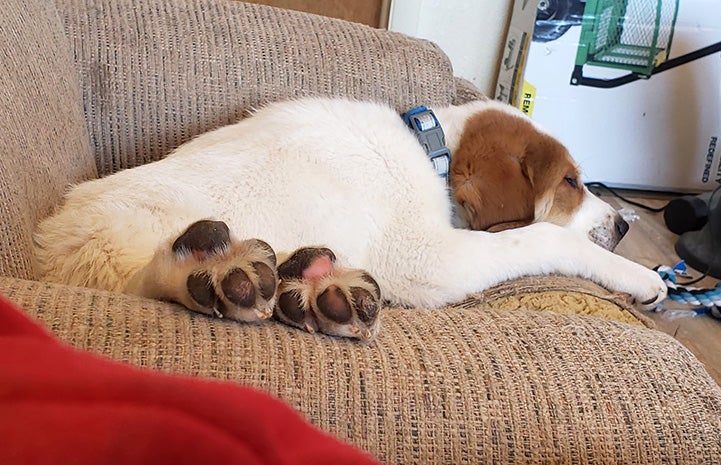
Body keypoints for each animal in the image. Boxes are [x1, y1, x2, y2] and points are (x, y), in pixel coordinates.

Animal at [32, 96, 664, 338]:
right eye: (571, 183)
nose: (626, 225)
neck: (430, 151)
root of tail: (49, 249)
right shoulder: (429, 260)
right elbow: (541, 239)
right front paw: (642, 277)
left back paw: (314, 284)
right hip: (129, 244)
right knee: (159, 276)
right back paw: (219, 274)